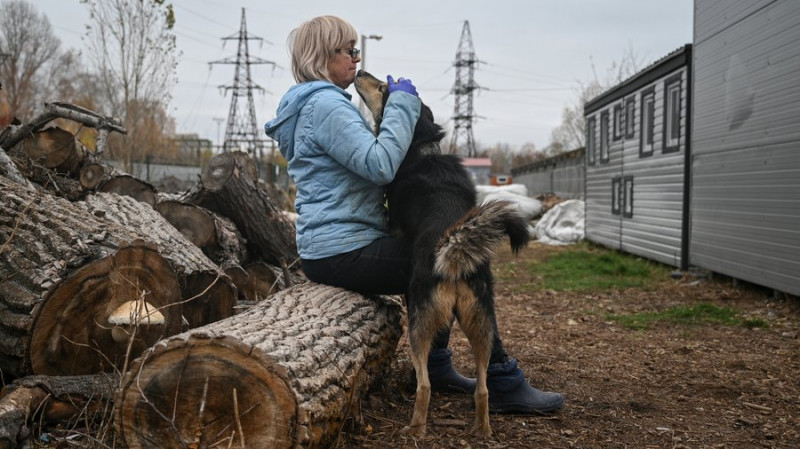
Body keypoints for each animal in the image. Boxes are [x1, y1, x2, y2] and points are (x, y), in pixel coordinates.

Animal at [356, 71, 532, 438]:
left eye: (382, 88)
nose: (360, 71)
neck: (421, 149)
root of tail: (453, 257)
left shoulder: (395, 224)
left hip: (419, 324)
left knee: (425, 385)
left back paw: (415, 427)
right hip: (482, 324)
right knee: (483, 388)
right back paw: (482, 429)